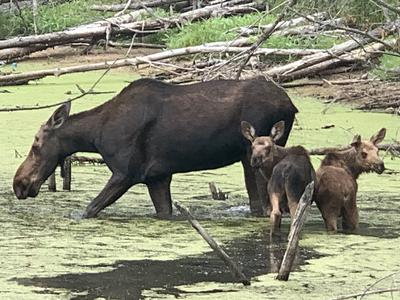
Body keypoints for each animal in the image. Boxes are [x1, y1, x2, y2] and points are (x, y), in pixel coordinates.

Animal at [13, 77, 296, 218]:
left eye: (36, 143)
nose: (19, 183)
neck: (95, 136)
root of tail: (291, 104)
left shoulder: (126, 173)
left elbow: (89, 210)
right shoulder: (157, 177)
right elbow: (164, 211)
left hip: (255, 156)